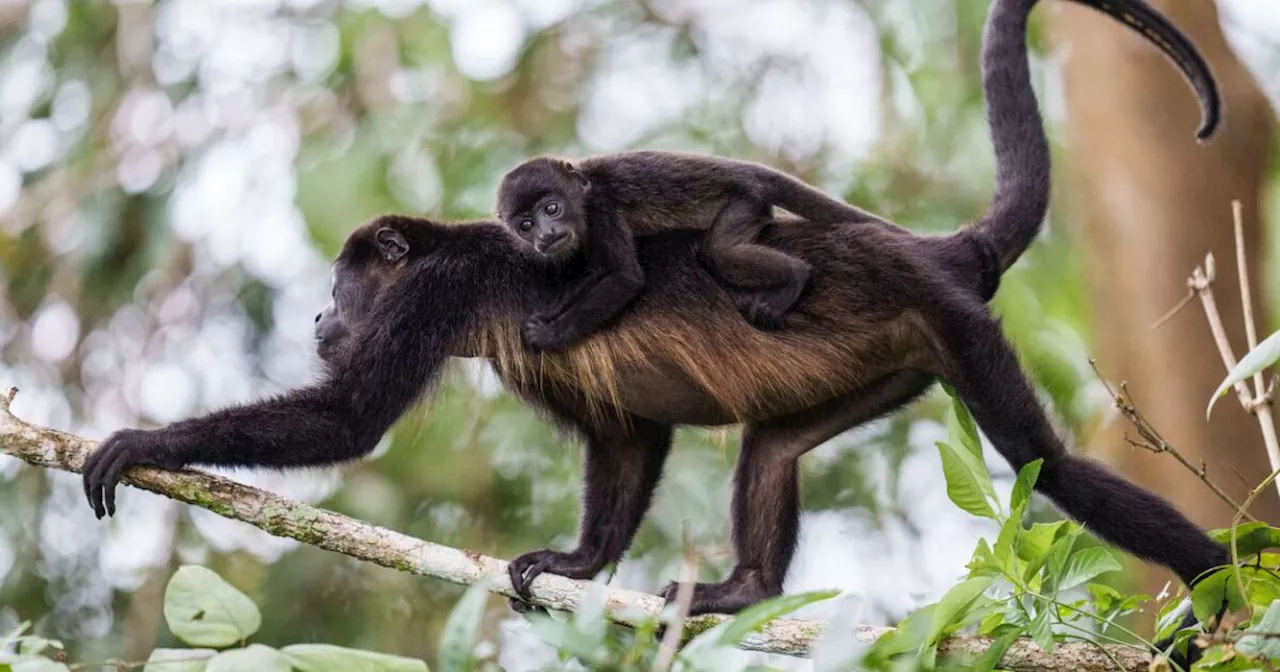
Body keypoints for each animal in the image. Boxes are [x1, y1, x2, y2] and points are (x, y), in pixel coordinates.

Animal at [85, 0, 1223, 655]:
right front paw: (582, 565)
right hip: (894, 361)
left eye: (342, 283)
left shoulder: (432, 302)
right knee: (772, 451)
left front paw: (142, 441)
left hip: (945, 322)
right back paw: (743, 590)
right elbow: (628, 439)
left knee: (1047, 465)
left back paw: (1218, 596)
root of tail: (931, 253)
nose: (323, 312)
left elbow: (349, 420)